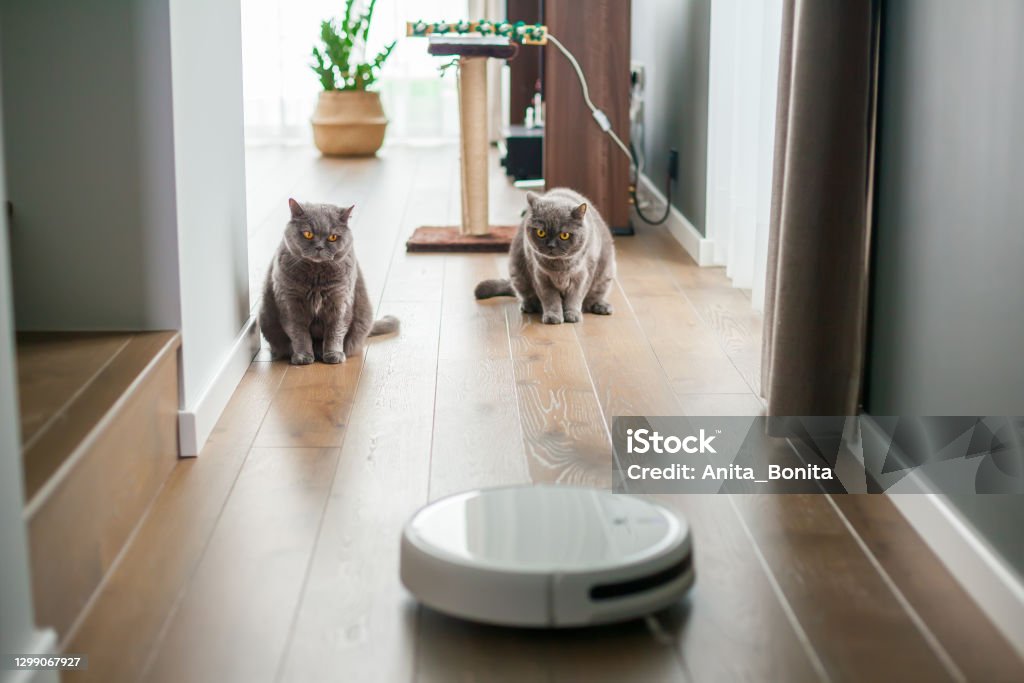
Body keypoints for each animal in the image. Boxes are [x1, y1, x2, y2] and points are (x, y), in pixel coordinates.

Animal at [258, 200, 397, 366]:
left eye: (333, 237)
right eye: (308, 234)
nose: (319, 247)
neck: (316, 277)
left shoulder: (340, 300)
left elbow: (335, 331)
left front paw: (333, 355)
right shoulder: (290, 303)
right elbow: (299, 332)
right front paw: (303, 357)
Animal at [473, 188, 610, 325]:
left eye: (564, 235)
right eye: (541, 233)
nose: (551, 246)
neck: (559, 267)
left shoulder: (582, 276)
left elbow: (574, 298)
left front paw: (572, 315)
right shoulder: (540, 277)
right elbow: (550, 298)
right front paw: (553, 316)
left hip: (605, 275)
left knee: (593, 298)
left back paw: (602, 307)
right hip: (517, 273)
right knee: (526, 295)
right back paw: (528, 306)